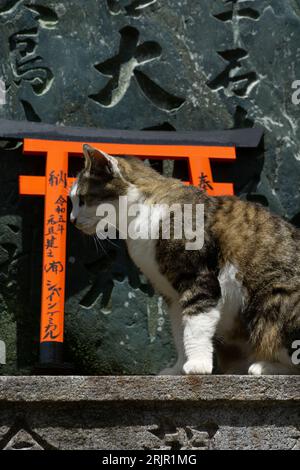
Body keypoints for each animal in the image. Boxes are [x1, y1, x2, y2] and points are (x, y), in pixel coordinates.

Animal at [69, 143, 300, 374]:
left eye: (82, 199)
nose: (72, 220)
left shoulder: (197, 277)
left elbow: (195, 324)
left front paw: (198, 364)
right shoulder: (171, 294)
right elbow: (180, 331)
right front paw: (178, 368)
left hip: (273, 303)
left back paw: (263, 367)